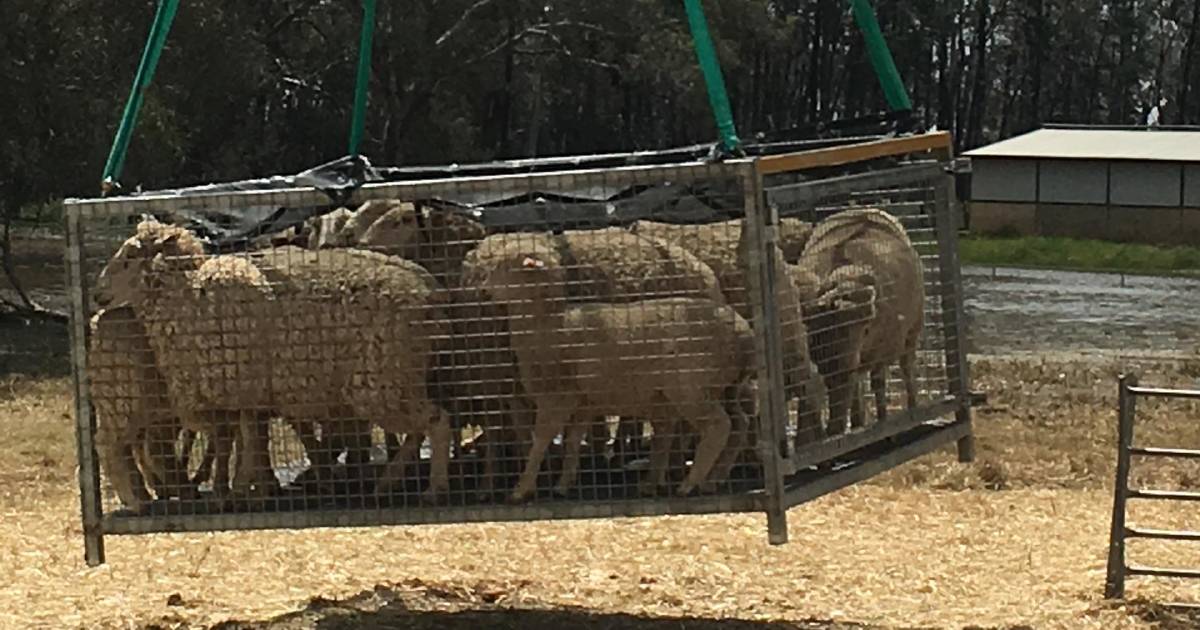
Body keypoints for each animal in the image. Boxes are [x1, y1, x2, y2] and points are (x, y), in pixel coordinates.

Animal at [475, 241, 748, 501]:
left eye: (505, 266)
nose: (484, 291)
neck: (550, 324)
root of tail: (743, 332)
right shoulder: (583, 403)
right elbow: (573, 441)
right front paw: (563, 483)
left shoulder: (557, 396)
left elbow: (540, 439)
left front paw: (521, 489)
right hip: (721, 387)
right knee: (736, 424)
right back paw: (703, 479)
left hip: (689, 388)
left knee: (718, 425)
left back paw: (689, 484)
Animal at [801, 208, 921, 434]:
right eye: (833, 328)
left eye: (866, 330)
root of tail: (864, 210)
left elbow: (876, 382)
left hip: (912, 330)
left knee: (904, 368)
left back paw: (910, 409)